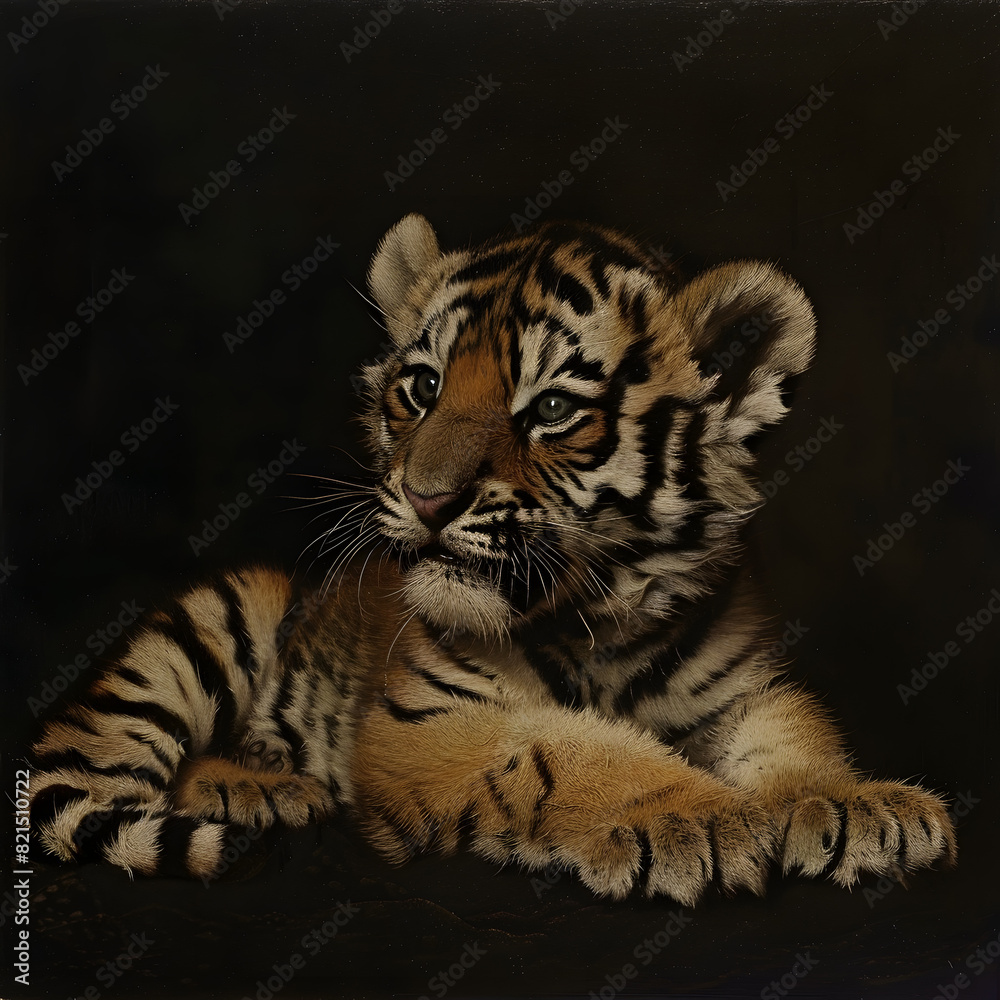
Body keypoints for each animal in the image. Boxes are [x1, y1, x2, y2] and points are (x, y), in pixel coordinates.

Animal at [29, 214, 956, 904]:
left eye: (550, 409)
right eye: (422, 388)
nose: (428, 498)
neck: (602, 622)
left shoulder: (744, 686)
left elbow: (796, 732)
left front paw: (854, 804)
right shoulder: (422, 723)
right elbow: (563, 751)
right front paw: (703, 818)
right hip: (218, 617)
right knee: (104, 768)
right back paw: (258, 789)